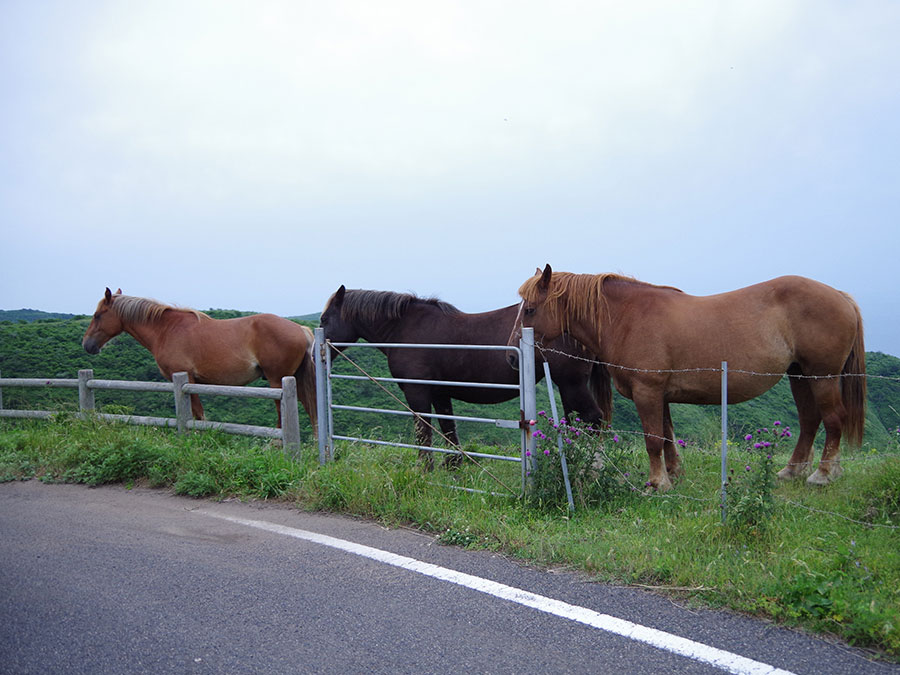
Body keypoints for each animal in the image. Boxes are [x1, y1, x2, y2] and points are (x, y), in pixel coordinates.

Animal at [81, 288, 318, 430]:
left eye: (98, 315)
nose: (87, 345)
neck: (166, 329)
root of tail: (301, 329)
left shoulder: (187, 380)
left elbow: (196, 415)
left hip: (277, 381)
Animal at [506, 266, 864, 494]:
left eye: (531, 310)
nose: (511, 357)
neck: (626, 318)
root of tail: (841, 296)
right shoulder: (660, 395)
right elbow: (666, 437)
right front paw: (673, 475)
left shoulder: (647, 392)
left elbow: (653, 440)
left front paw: (657, 484)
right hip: (799, 375)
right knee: (809, 421)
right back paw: (792, 470)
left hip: (822, 375)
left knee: (833, 419)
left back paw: (822, 474)